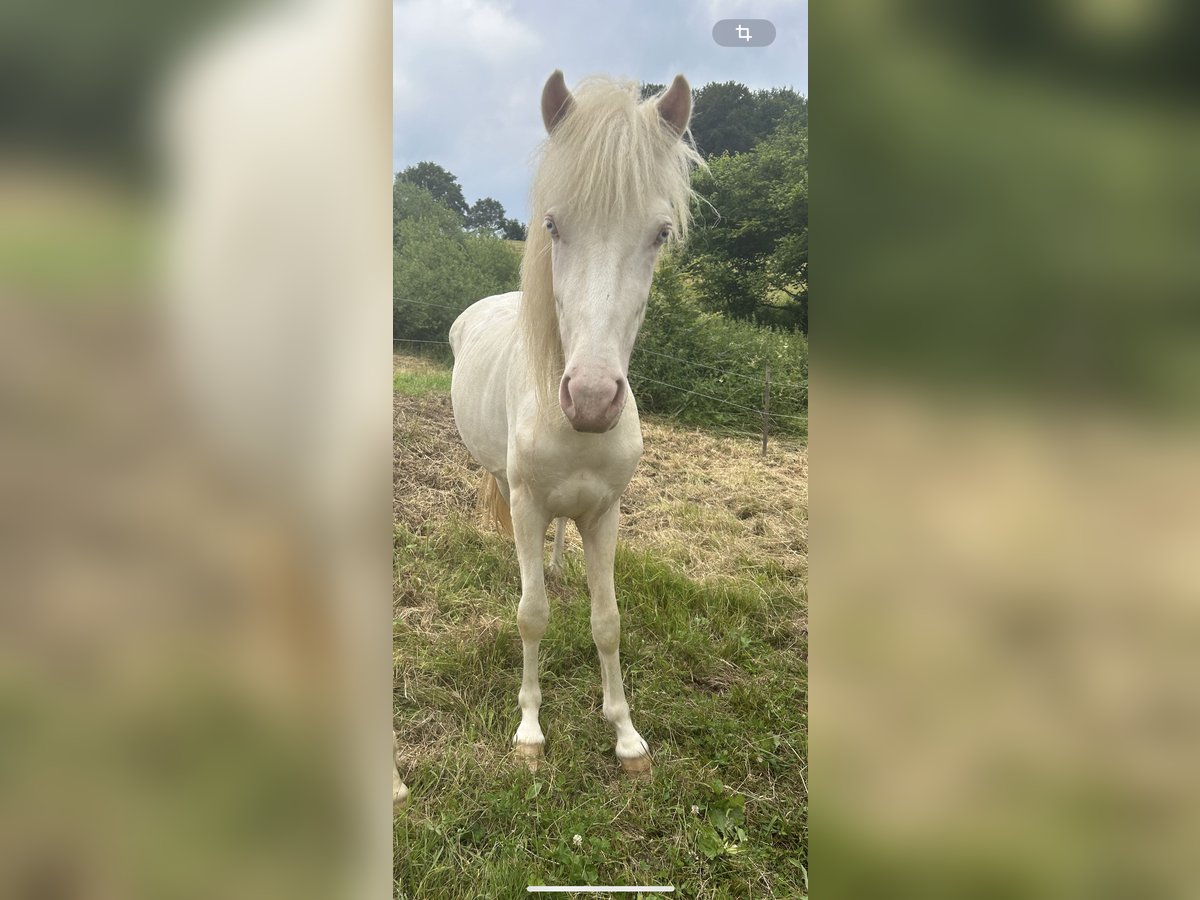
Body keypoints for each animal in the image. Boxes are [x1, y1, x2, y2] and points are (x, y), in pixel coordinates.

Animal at [446, 72, 700, 777]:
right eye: (553, 225)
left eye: (659, 233)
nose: (590, 398)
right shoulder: (527, 501)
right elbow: (531, 616)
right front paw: (531, 730)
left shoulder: (606, 511)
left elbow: (607, 620)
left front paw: (627, 736)